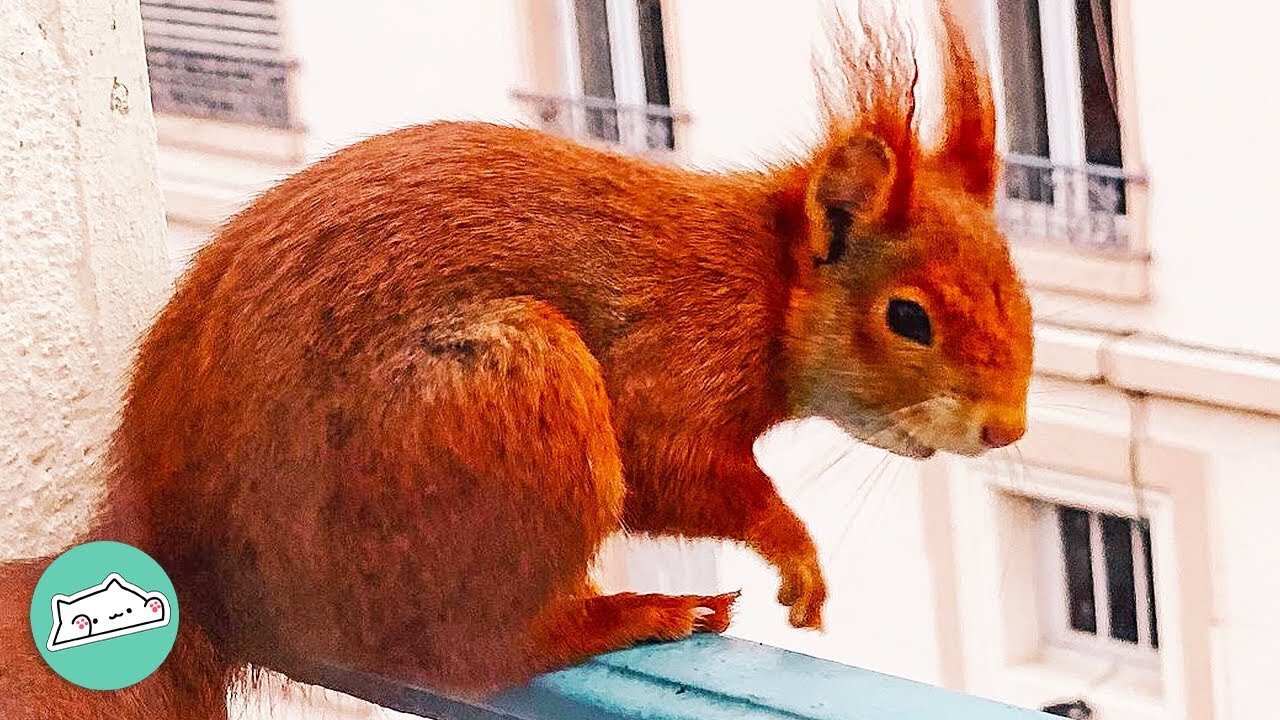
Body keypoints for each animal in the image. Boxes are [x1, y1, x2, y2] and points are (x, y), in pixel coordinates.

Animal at [0, 7, 1029, 717]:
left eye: (1017, 283)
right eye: (907, 317)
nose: (1007, 428)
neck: (758, 286)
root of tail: (183, 554)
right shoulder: (671, 363)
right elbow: (679, 471)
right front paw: (797, 553)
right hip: (500, 395)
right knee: (474, 653)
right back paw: (633, 612)